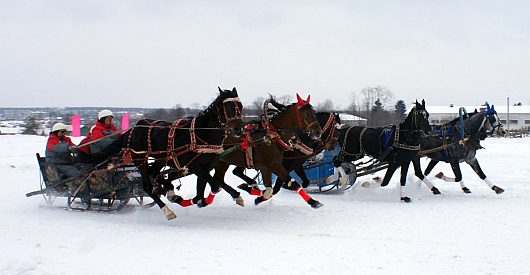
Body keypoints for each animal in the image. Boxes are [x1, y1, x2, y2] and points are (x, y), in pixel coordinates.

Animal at [118, 87, 242, 221]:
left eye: (240, 105)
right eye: (227, 106)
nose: (238, 129)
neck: (201, 134)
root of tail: (133, 129)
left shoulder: (206, 167)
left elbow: (200, 192)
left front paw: (197, 201)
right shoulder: (194, 166)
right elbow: (214, 186)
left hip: (161, 159)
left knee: (154, 172)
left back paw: (171, 192)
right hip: (140, 159)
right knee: (148, 186)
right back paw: (167, 210)